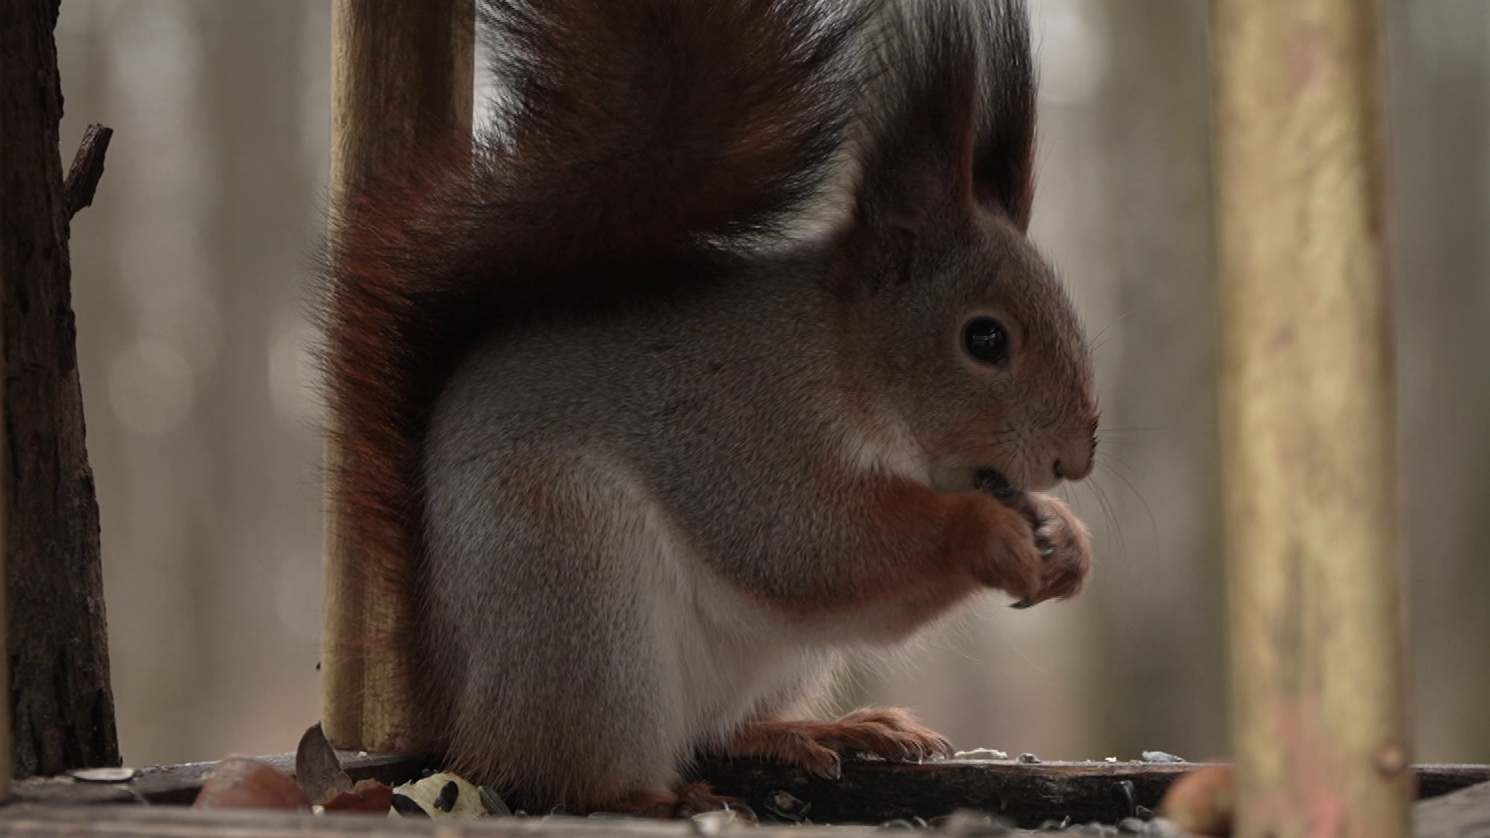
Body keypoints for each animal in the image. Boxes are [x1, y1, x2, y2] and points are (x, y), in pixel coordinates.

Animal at [323, 0, 1096, 817]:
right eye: (985, 338)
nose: (1075, 459)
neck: (843, 356)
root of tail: (462, 708)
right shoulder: (739, 430)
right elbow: (808, 545)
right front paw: (986, 532)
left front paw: (1068, 540)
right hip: (579, 606)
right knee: (573, 775)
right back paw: (663, 800)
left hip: (761, 660)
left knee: (721, 728)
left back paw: (821, 730)